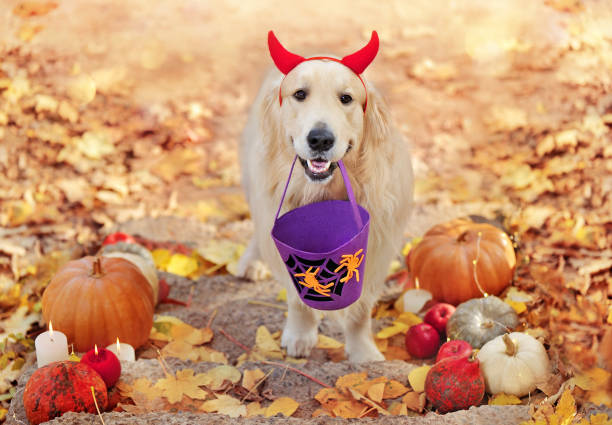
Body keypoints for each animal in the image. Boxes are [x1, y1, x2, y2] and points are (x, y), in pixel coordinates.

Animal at [237, 31, 414, 362]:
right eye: (300, 94)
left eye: (346, 98)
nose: (320, 139)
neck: (324, 188)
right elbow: (297, 297)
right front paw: (300, 334)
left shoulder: (377, 245)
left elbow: (359, 310)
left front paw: (363, 353)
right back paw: (250, 262)